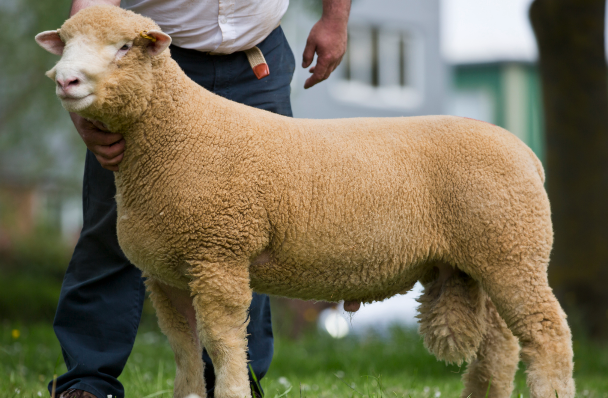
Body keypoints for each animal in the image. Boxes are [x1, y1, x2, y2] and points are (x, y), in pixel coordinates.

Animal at [35, 6, 576, 398]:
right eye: (67, 42)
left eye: (124, 47)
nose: (65, 81)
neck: (180, 133)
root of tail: (526, 152)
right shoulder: (164, 274)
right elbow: (185, 350)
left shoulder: (218, 256)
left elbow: (224, 345)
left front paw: (233, 392)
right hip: (480, 258)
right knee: (500, 349)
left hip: (511, 249)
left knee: (547, 335)